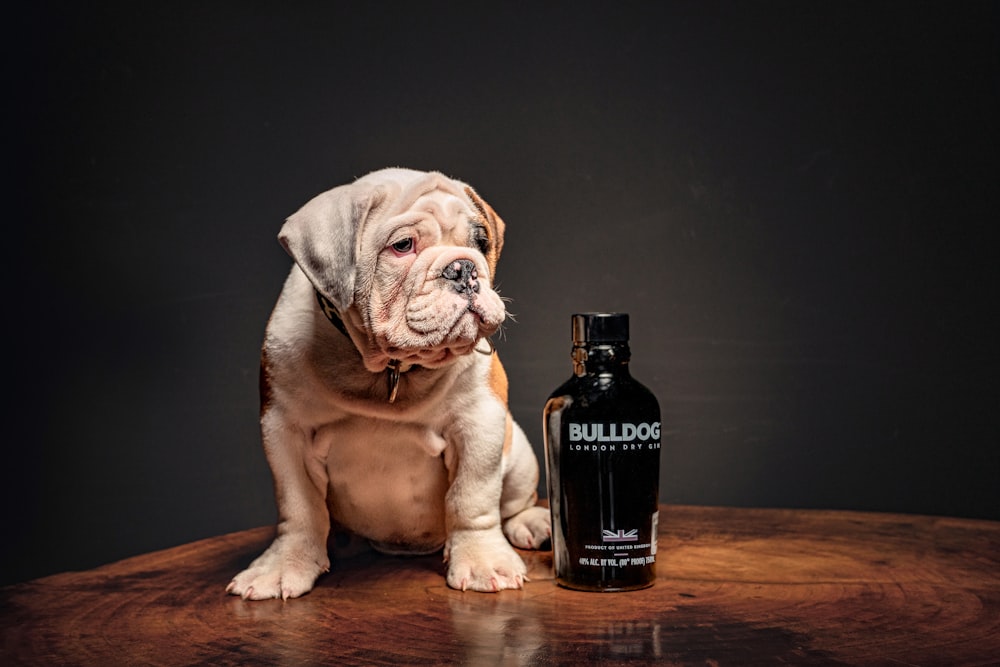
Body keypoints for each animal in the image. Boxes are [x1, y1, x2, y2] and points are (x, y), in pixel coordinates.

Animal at [228, 168, 552, 600]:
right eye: (402, 246)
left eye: (481, 243)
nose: (464, 269)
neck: (389, 367)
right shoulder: (284, 429)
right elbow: (297, 507)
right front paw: (282, 566)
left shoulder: (480, 422)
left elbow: (472, 497)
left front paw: (483, 561)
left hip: (519, 453)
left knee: (512, 501)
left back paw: (532, 522)